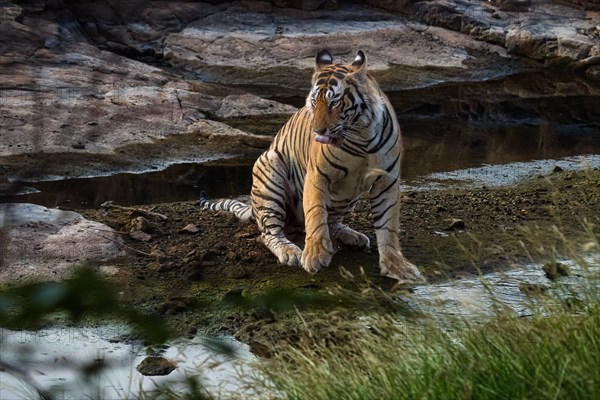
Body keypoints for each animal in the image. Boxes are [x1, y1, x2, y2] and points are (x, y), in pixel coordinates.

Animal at [200, 48, 422, 282]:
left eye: (334, 102)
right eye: (315, 102)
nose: (317, 131)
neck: (361, 135)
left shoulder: (387, 180)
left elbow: (388, 226)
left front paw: (397, 266)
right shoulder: (317, 175)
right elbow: (316, 215)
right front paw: (315, 256)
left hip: (348, 195)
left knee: (333, 222)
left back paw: (352, 237)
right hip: (270, 169)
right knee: (269, 233)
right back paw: (290, 252)